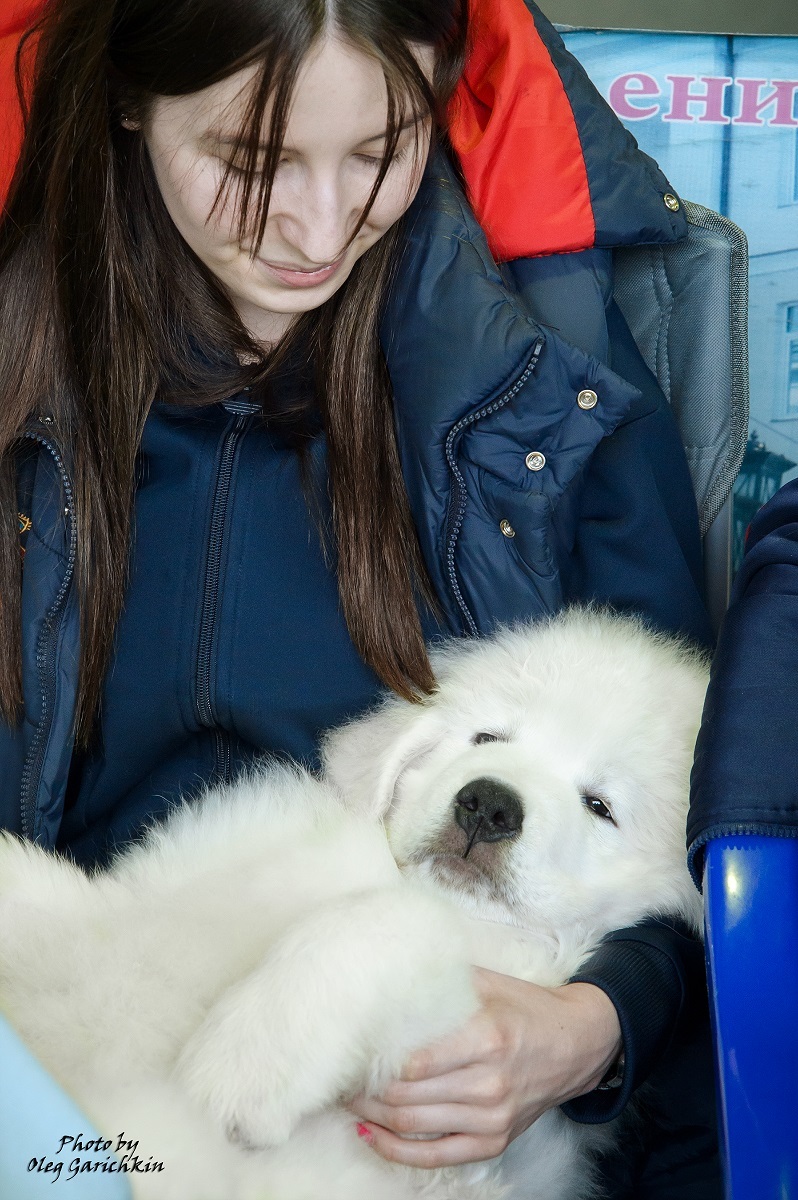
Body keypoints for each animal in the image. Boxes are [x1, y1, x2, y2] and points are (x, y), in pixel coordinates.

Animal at [0, 609, 705, 1200]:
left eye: (600, 807)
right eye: (487, 737)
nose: (489, 805)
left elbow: (385, 924)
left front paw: (241, 1065)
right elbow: (57, 897)